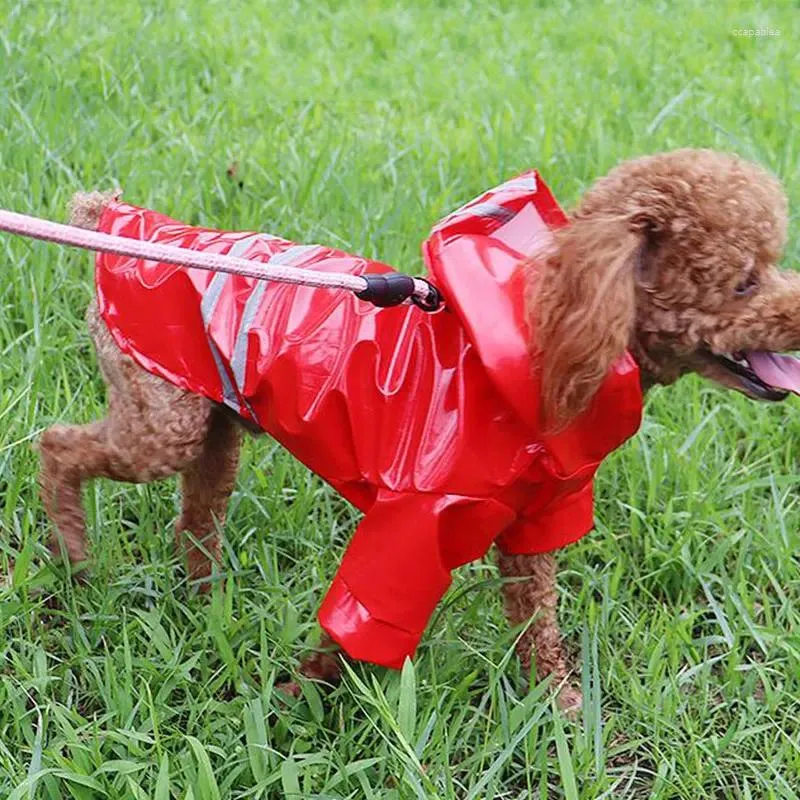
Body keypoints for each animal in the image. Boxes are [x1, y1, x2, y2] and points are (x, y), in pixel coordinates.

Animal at [39, 152, 800, 712]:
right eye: (744, 281)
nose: (798, 314)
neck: (545, 340)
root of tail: (122, 219)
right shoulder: (409, 522)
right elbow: (360, 621)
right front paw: (296, 698)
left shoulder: (535, 521)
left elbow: (538, 624)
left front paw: (560, 715)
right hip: (158, 414)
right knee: (56, 446)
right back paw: (74, 557)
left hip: (213, 422)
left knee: (196, 517)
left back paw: (204, 601)